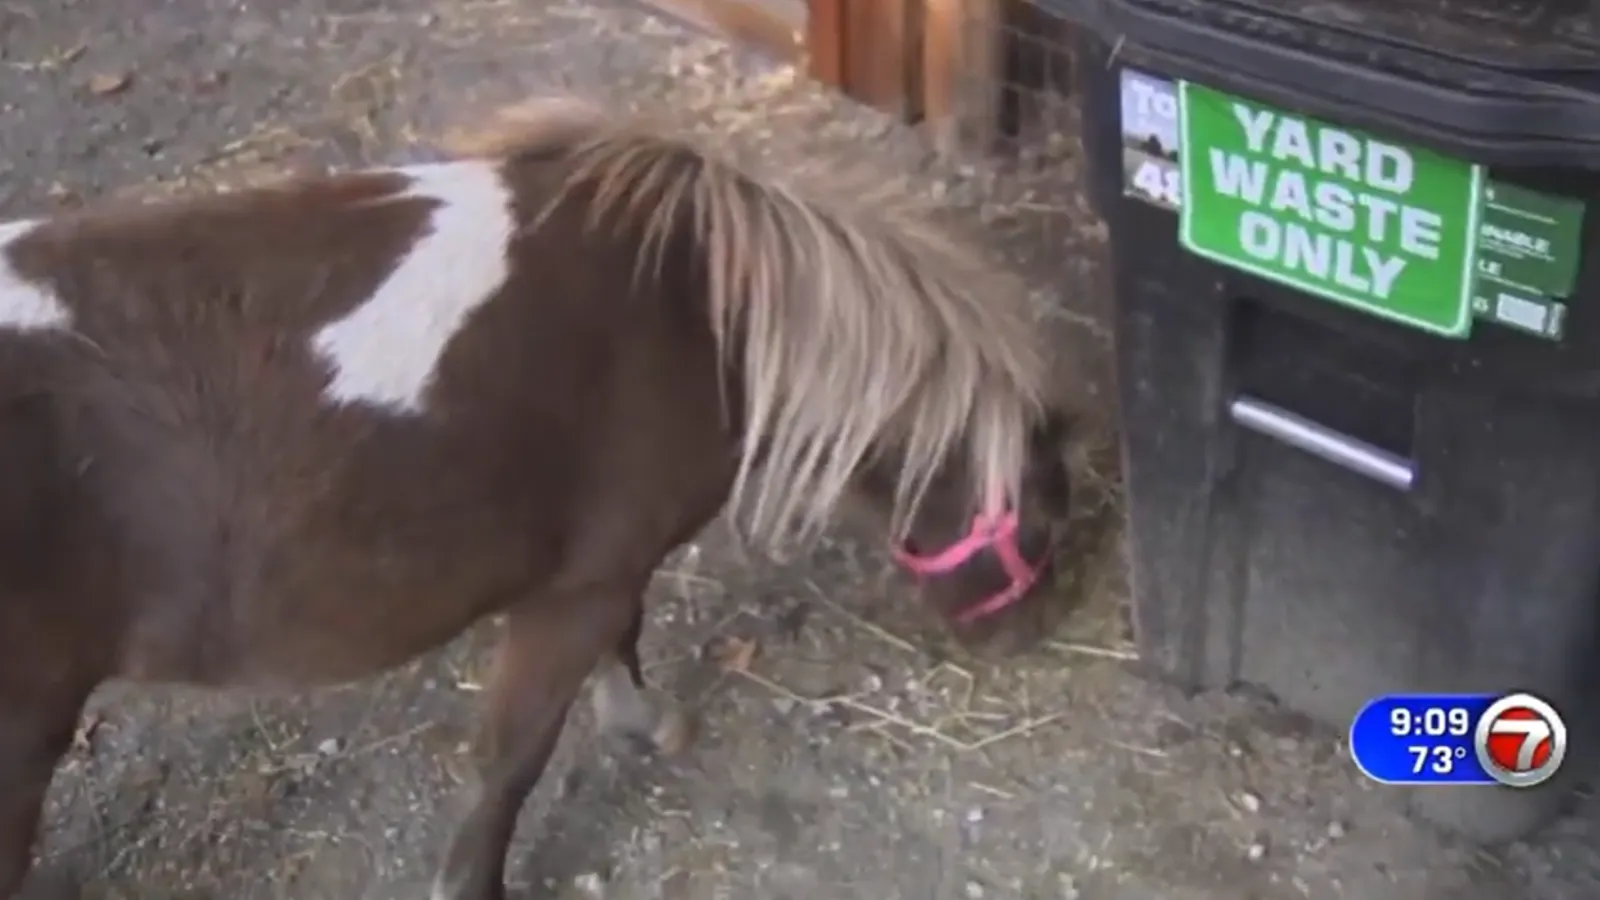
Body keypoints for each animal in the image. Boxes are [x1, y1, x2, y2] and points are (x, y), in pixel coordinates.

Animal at [0, 97, 1075, 900]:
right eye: (1046, 519)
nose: (1024, 635)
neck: (694, 309)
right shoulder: (574, 592)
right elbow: (513, 760)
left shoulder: (602, 572)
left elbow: (620, 647)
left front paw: (642, 722)